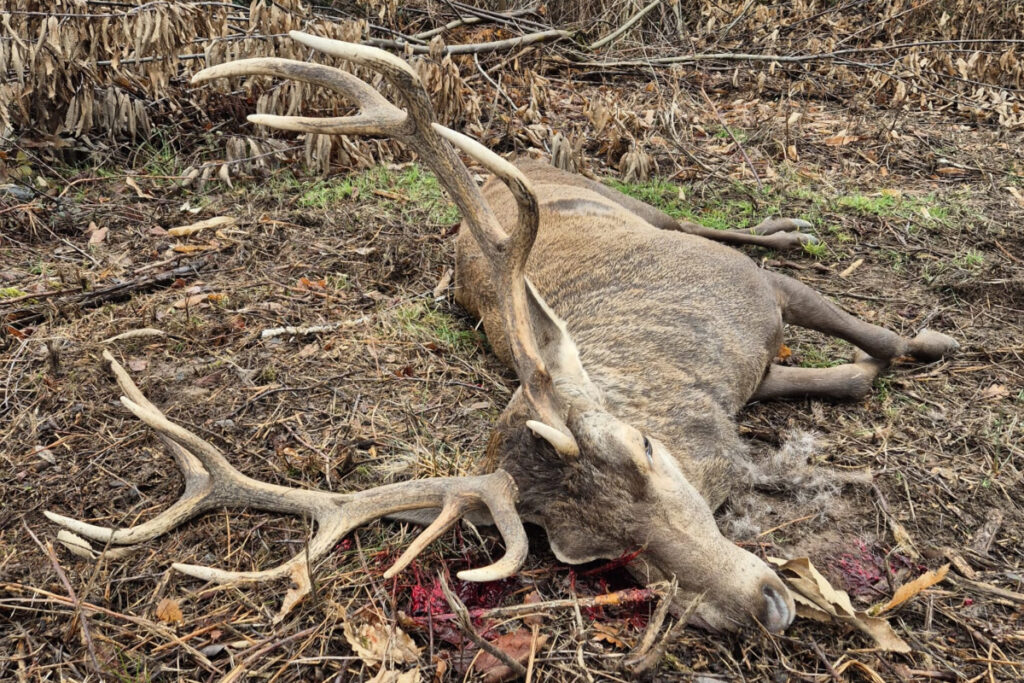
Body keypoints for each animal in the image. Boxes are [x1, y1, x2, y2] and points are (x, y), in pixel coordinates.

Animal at [46, 32, 959, 635]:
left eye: (644, 455)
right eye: (589, 554)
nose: (766, 604)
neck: (698, 389)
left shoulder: (755, 296)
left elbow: (869, 338)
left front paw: (934, 341)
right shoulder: (755, 370)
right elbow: (847, 376)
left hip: (637, 205)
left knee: (711, 224)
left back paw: (791, 226)